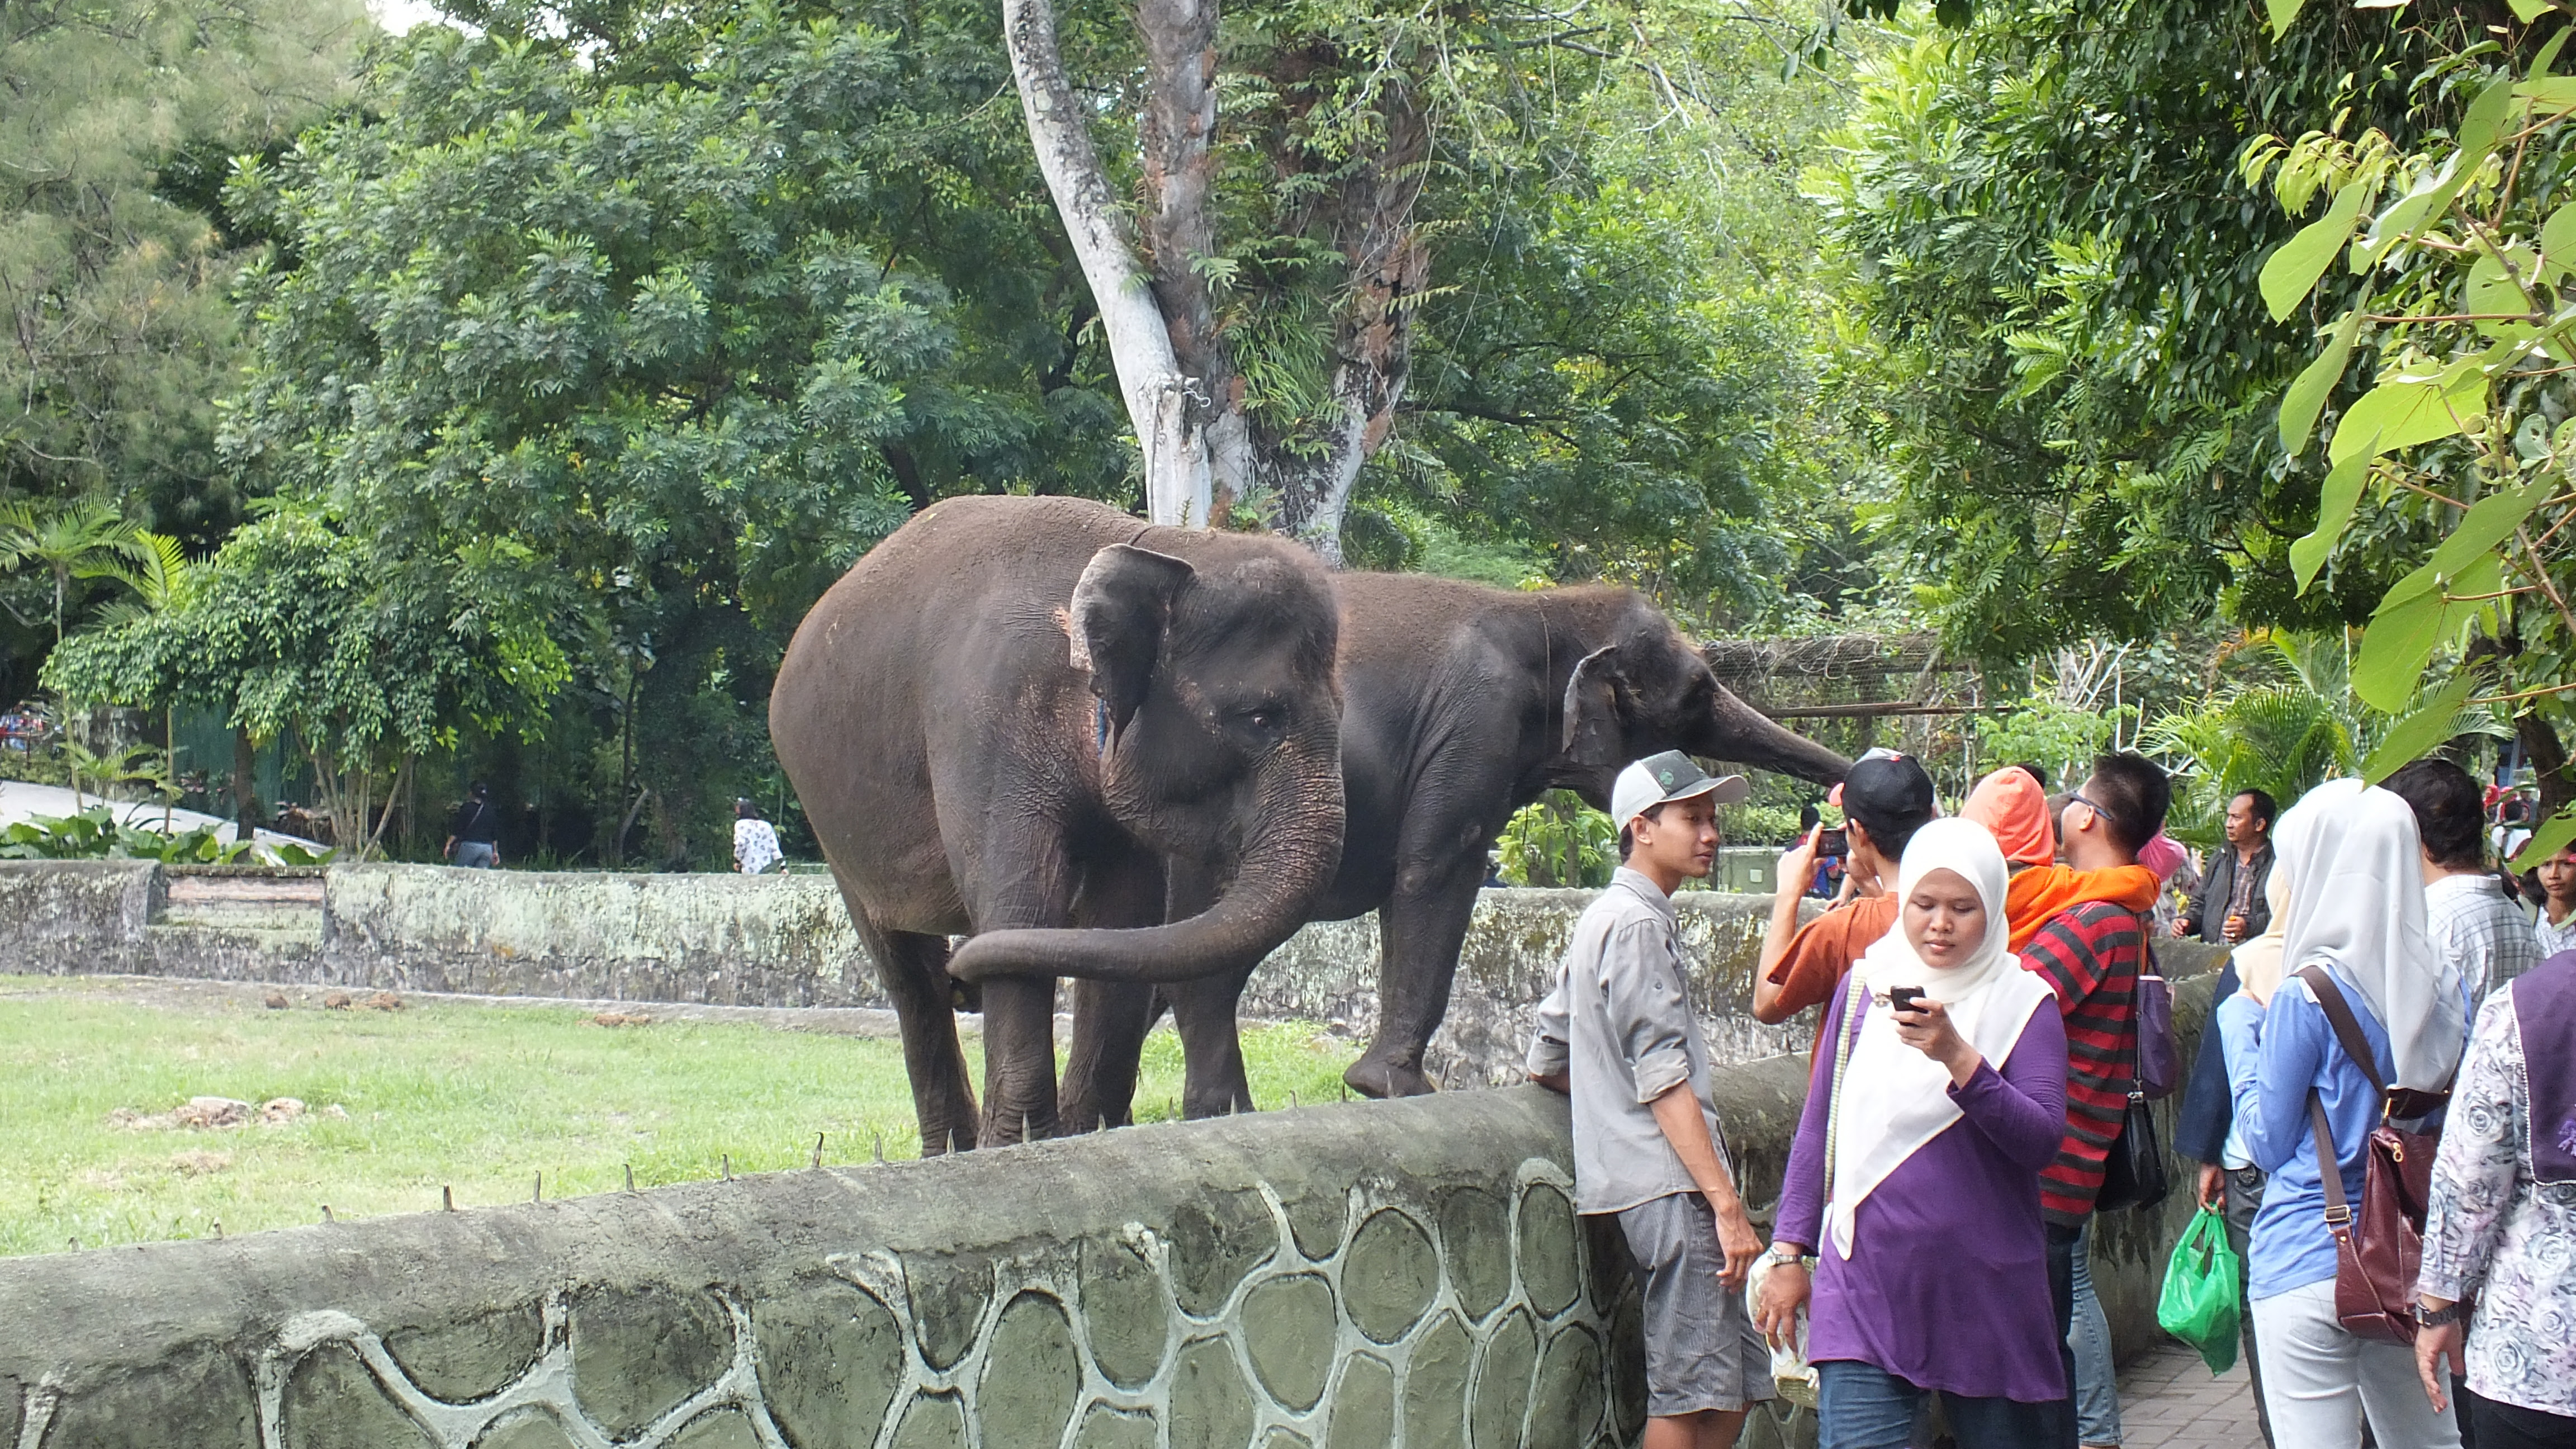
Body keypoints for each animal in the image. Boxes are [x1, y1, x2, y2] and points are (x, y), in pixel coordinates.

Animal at [768, 495, 1349, 1149]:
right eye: (1257, 719)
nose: (964, 972)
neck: (1163, 546)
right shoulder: (986, 723)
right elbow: (1023, 902)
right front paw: (1019, 1144)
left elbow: (1125, 914)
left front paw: (1085, 1133)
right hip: (831, 823)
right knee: (906, 974)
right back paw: (949, 1147)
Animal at [958, 565, 1844, 1119]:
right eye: (1697, 693)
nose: (1845, 798)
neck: (1550, 609)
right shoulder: (1475, 722)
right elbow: (1438, 871)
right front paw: (1393, 1091)